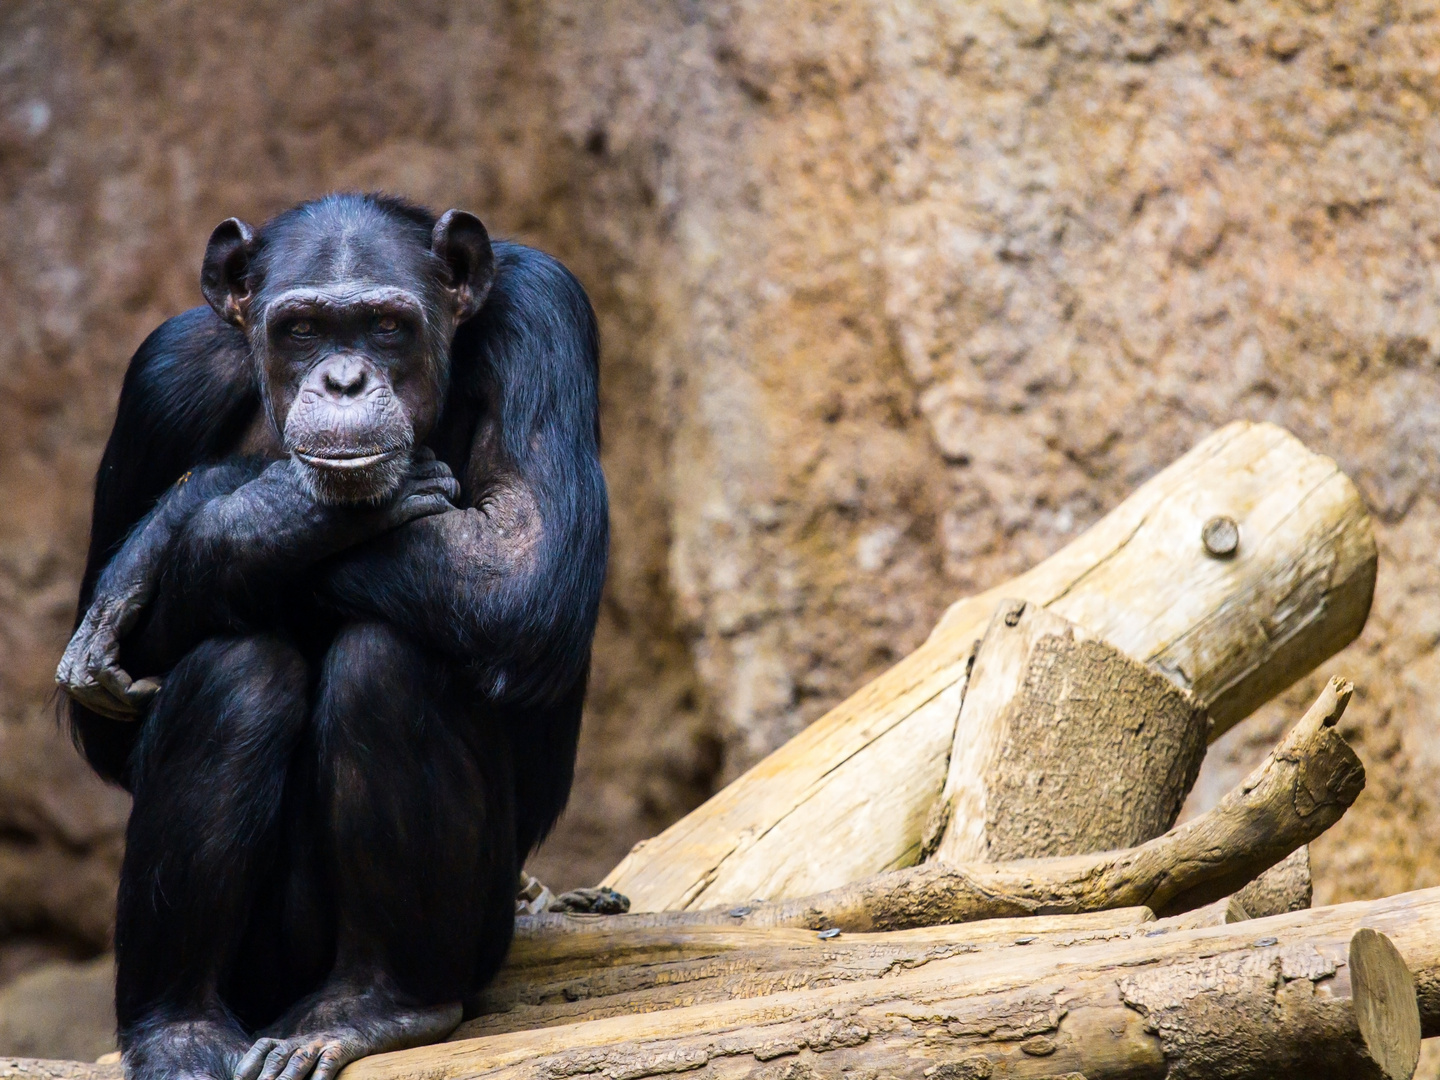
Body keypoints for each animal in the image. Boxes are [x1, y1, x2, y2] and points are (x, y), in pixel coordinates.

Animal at [54, 194, 607, 1080]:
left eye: (386, 326)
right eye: (304, 330)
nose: (344, 379)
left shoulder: (545, 315)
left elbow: (522, 562)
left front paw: (185, 520)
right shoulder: (160, 378)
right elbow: (104, 718)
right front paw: (265, 513)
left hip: (482, 927)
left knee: (389, 659)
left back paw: (379, 1005)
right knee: (237, 672)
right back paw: (177, 1029)